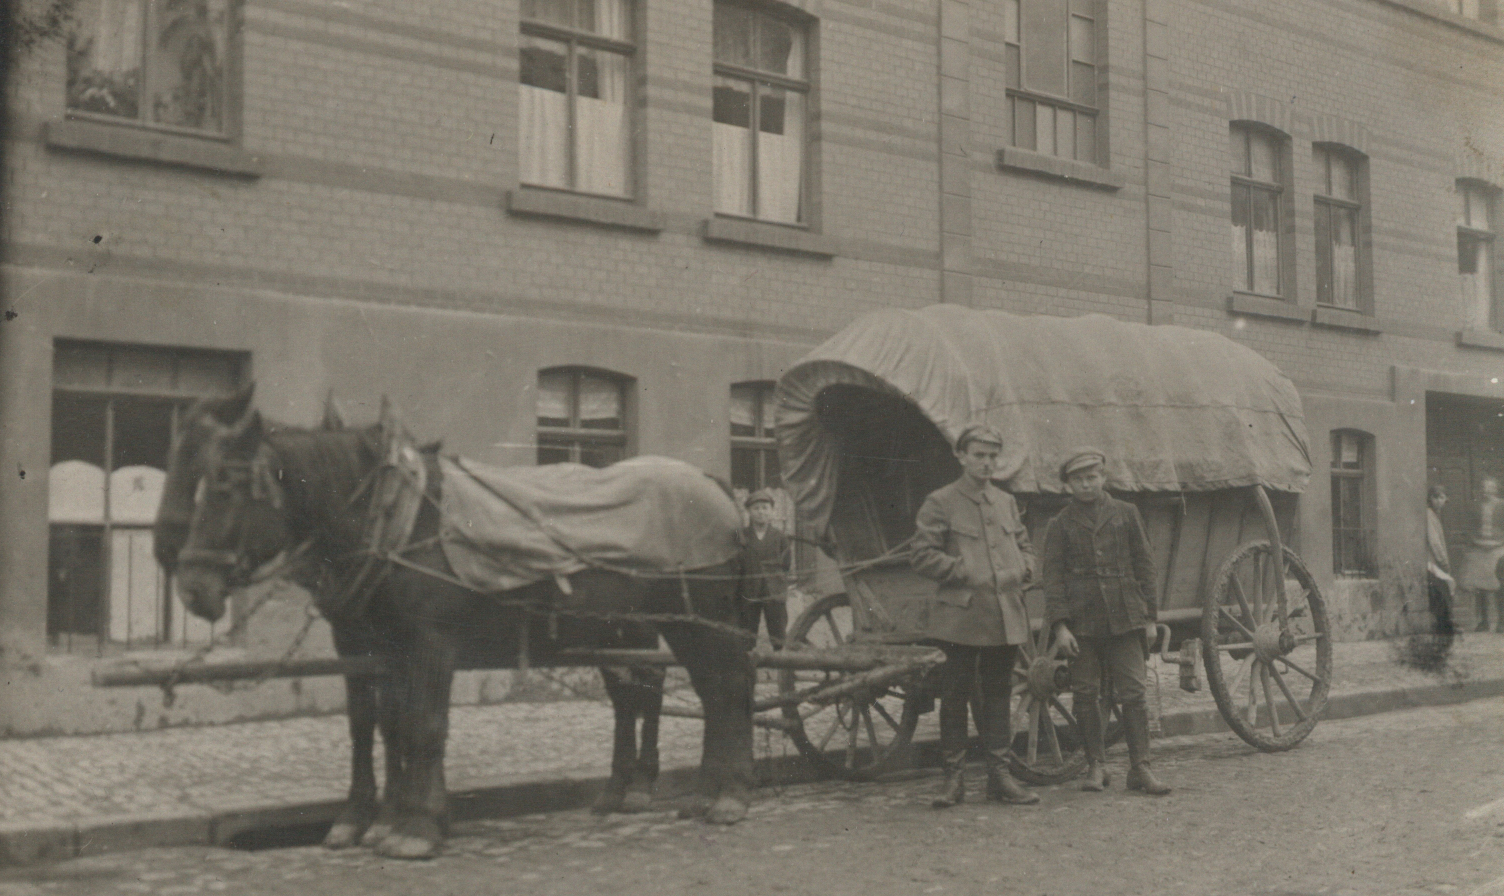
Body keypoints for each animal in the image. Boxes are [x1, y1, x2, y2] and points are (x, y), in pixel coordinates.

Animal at [159, 388, 755, 859]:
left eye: (225, 485)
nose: (190, 584)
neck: (398, 521)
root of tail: (716, 486)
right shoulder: (373, 644)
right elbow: (381, 726)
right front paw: (379, 821)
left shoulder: (430, 643)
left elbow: (424, 726)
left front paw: (416, 828)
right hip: (638, 629)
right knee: (676, 694)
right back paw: (677, 793)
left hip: (700, 620)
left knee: (724, 688)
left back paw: (725, 796)